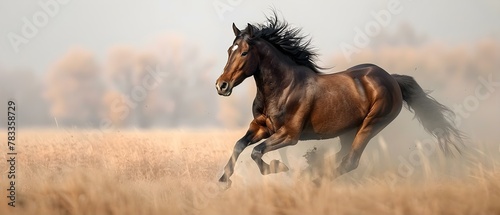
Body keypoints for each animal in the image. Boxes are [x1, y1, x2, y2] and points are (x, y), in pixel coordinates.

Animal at [215, 13, 464, 186]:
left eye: (244, 52)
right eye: (228, 51)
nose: (221, 85)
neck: (283, 88)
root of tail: (392, 79)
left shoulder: (288, 135)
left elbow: (257, 152)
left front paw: (278, 167)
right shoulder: (261, 127)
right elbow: (239, 145)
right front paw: (223, 181)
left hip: (371, 125)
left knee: (350, 161)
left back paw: (313, 179)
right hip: (348, 130)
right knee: (342, 155)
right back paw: (312, 167)